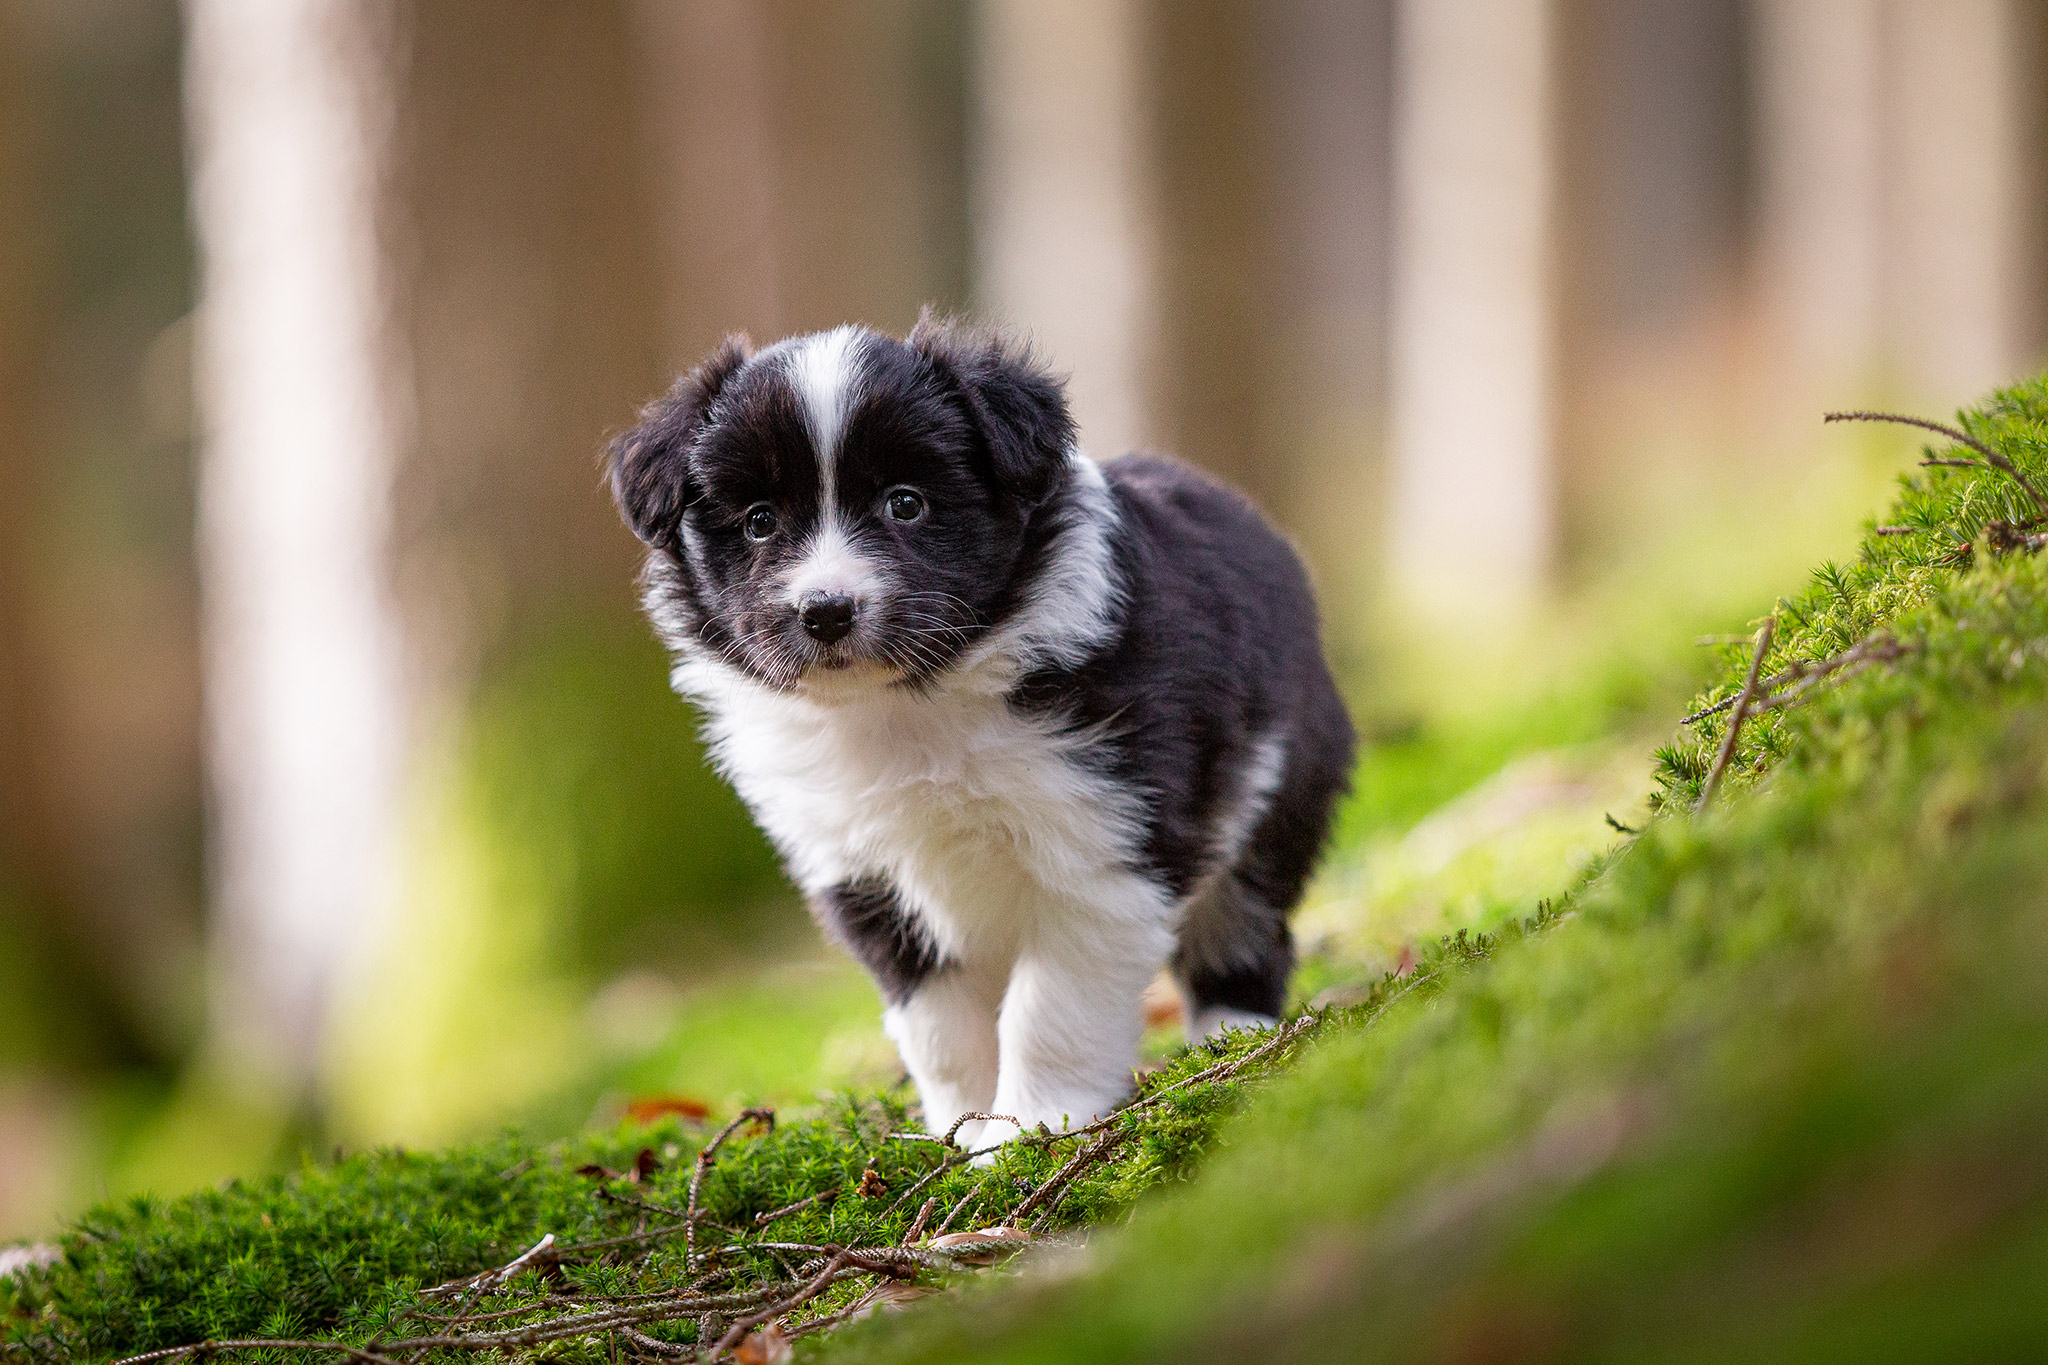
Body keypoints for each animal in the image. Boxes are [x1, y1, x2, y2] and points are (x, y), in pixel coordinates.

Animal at [602, 315, 1359, 1146]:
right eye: (759, 521)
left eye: (906, 504)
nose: (826, 610)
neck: (907, 705)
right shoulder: (864, 877)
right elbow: (940, 1026)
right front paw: (963, 1132)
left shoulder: (1104, 843)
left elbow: (1048, 1009)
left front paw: (1032, 1126)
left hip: (1277, 787)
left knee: (1245, 927)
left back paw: (1234, 1042)